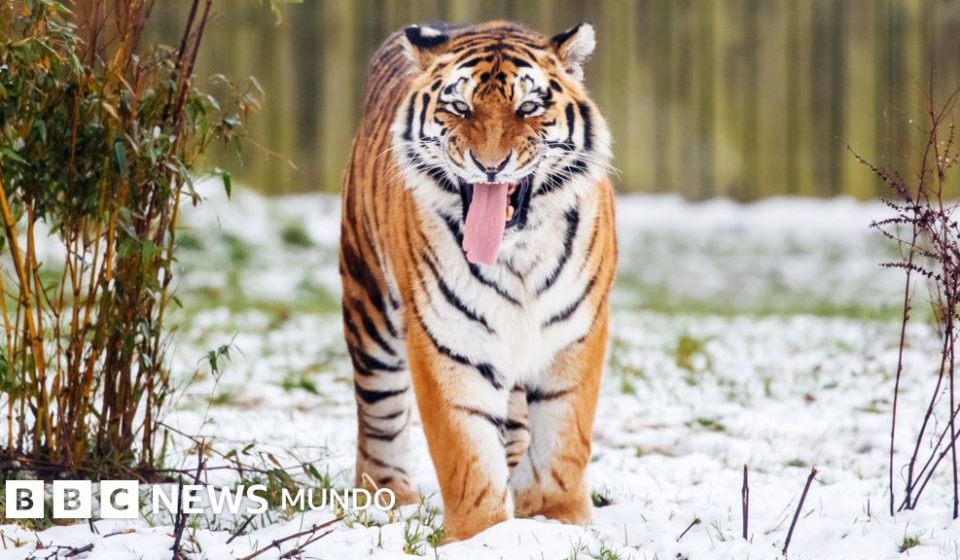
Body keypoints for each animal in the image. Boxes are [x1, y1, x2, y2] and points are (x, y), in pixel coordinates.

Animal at [339, 20, 616, 541]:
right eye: (459, 107)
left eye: (529, 107)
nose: (490, 165)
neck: (517, 253)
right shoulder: (448, 339)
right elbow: (466, 450)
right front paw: (481, 535)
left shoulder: (576, 333)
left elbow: (564, 436)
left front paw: (557, 518)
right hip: (370, 306)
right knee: (379, 412)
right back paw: (388, 497)